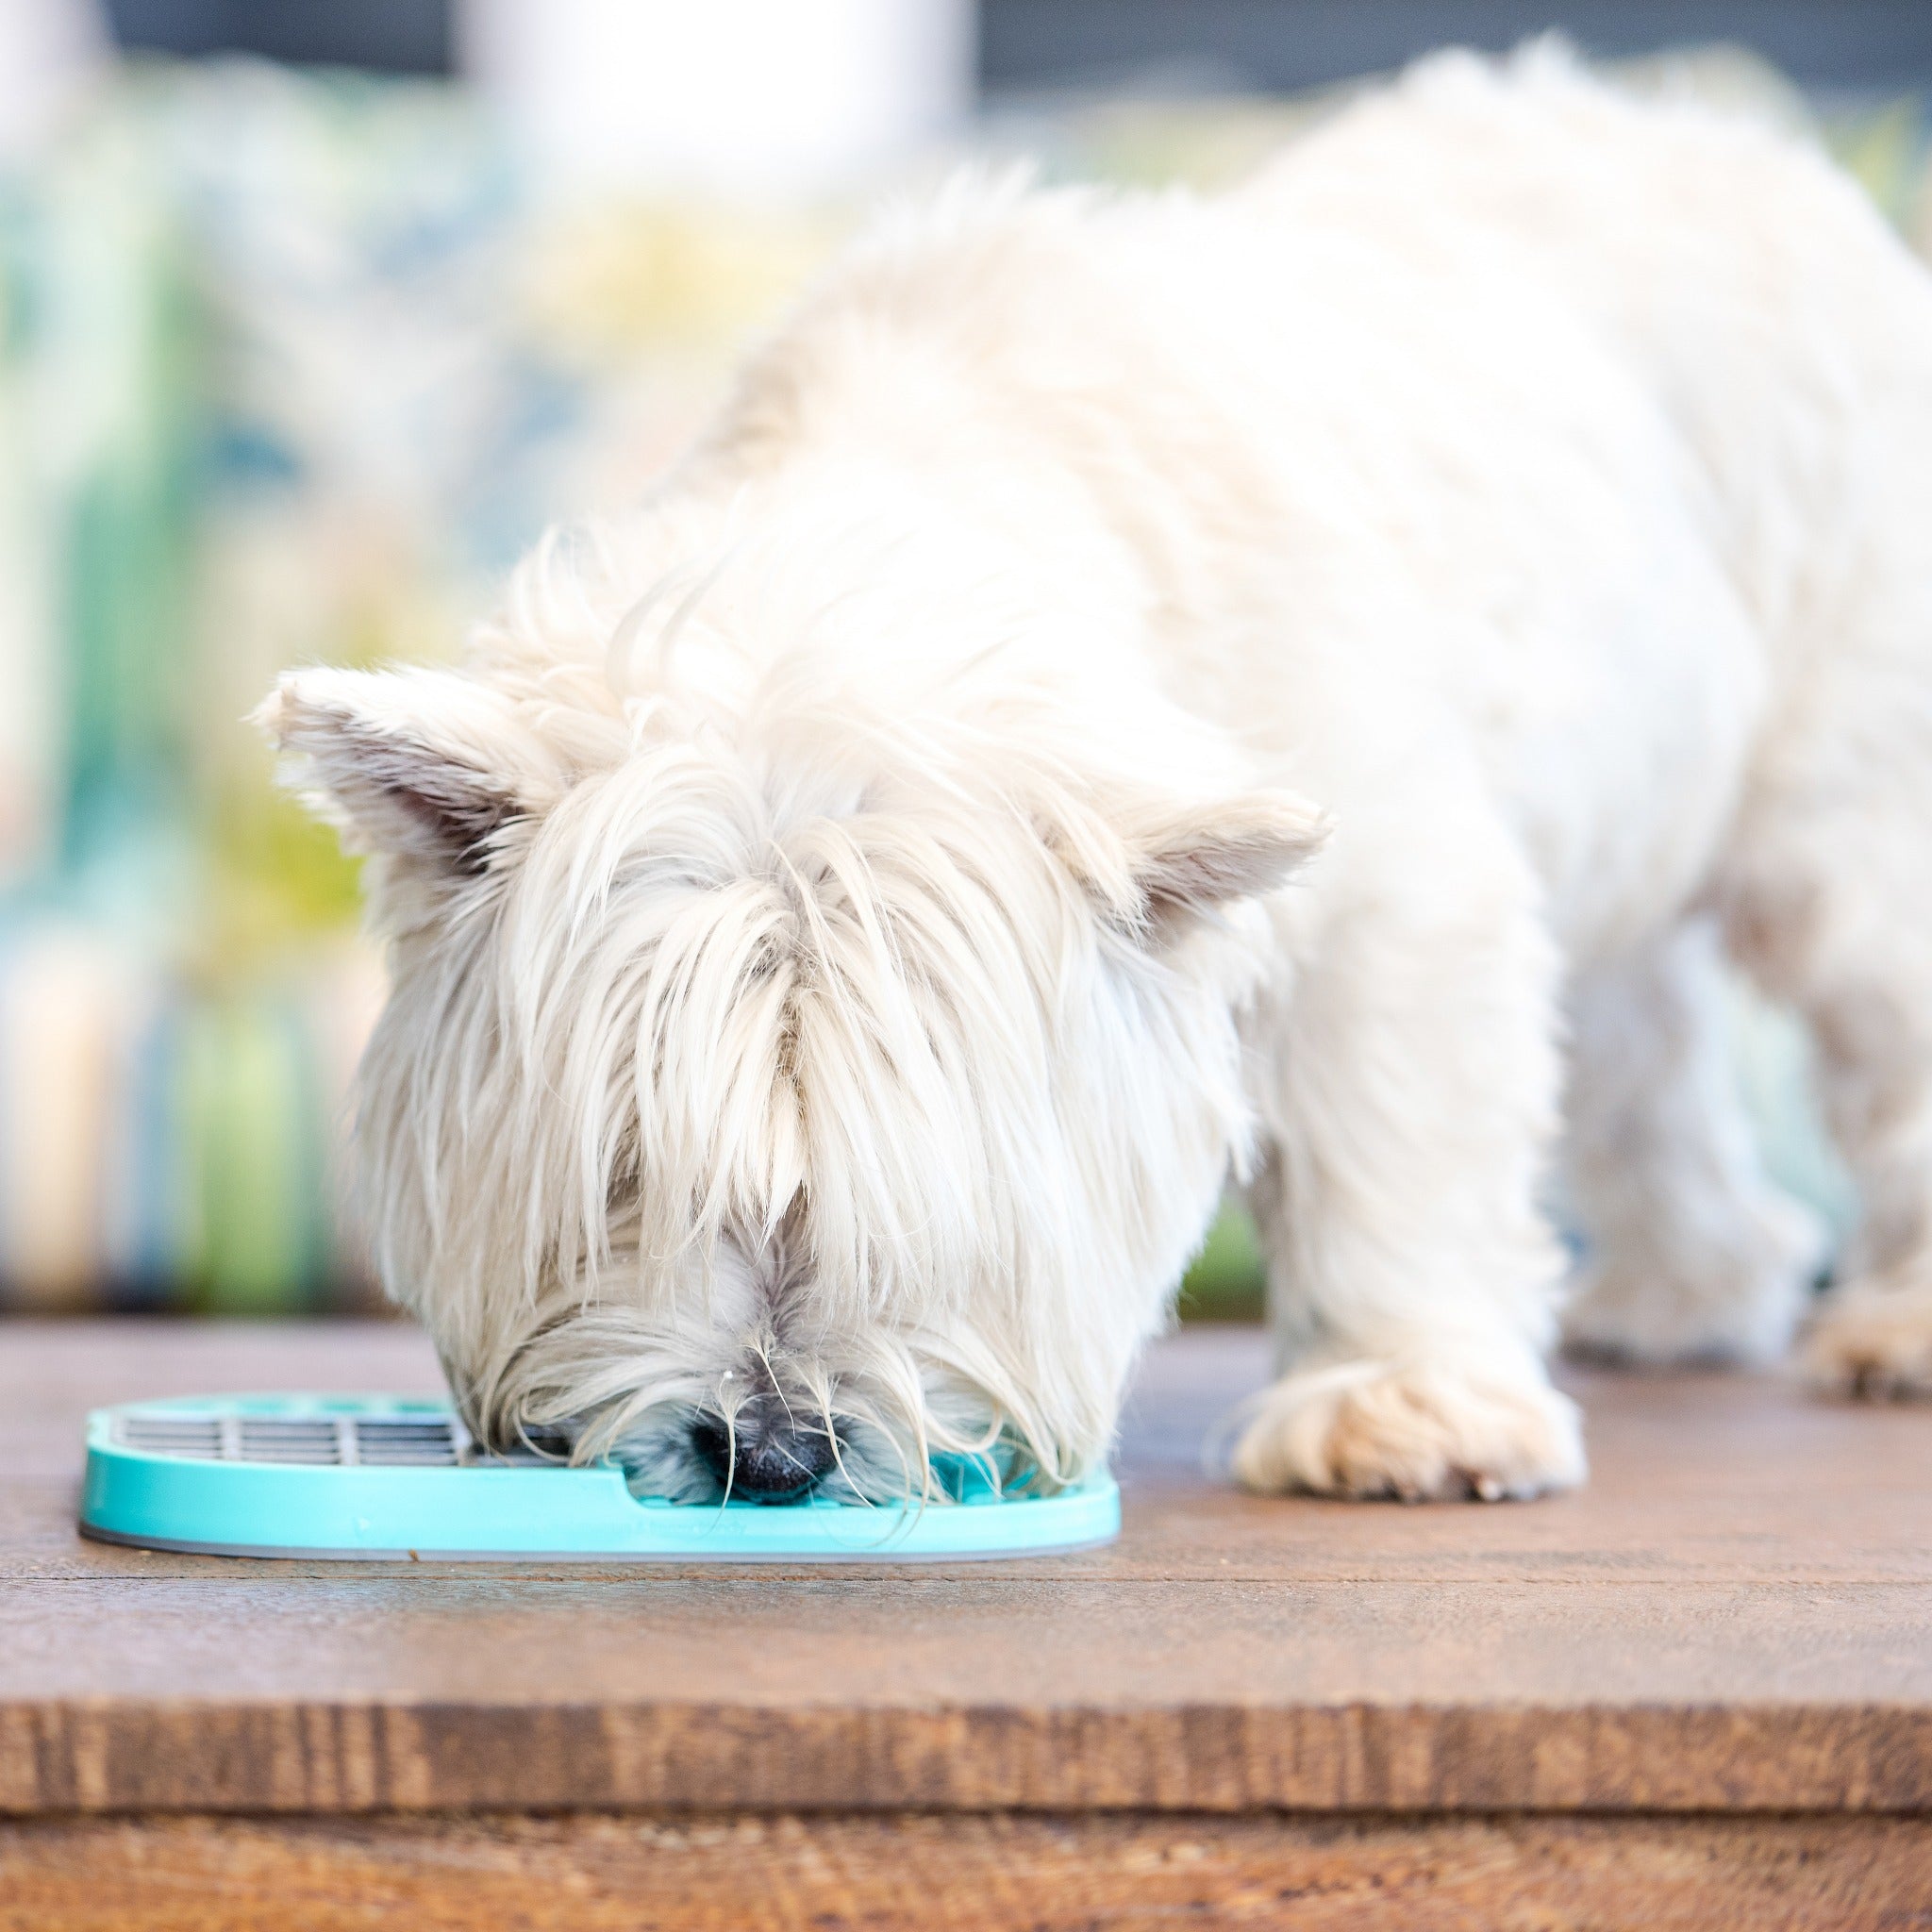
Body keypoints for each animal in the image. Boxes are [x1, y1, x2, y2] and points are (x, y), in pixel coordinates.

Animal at [264, 42, 1932, 1491]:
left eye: (928, 1195)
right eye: (622, 1176)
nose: (774, 1451)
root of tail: (1742, 144)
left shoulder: (1391, 895)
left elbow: (1396, 1134)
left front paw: (1401, 1403)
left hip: (1840, 789)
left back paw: (1890, 1329)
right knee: (1639, 1042)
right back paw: (1686, 1291)